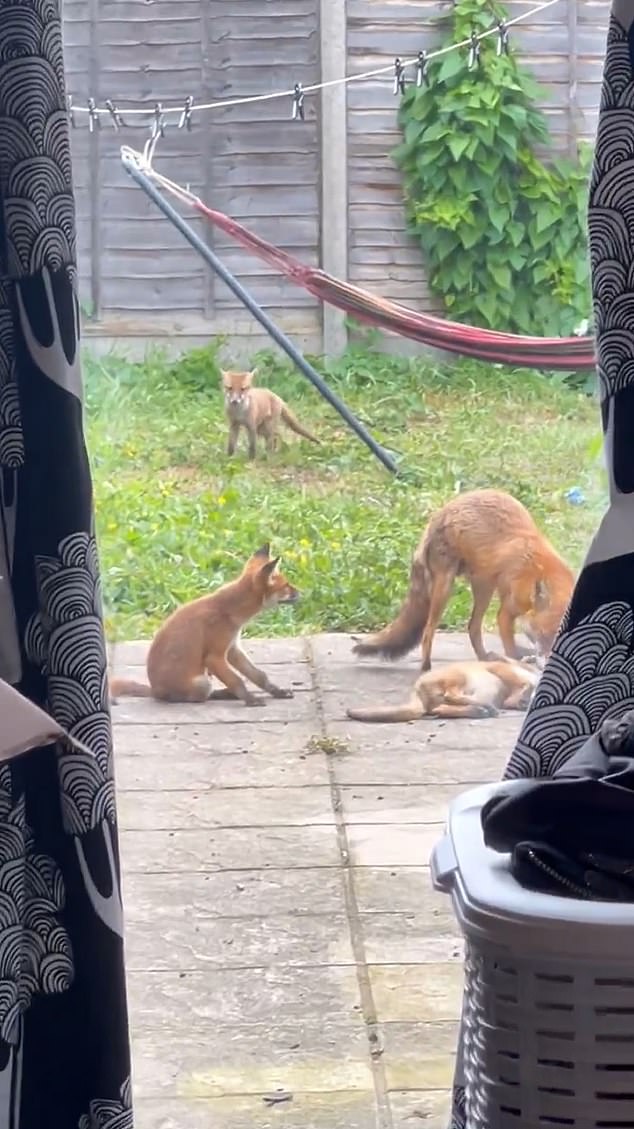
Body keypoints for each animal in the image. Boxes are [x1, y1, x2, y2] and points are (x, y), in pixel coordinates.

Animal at [107, 544, 295, 704]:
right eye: (286, 586)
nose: (300, 592)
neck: (229, 610)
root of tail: (154, 692)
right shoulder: (214, 657)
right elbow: (237, 680)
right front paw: (250, 699)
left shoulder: (232, 649)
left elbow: (259, 676)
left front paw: (277, 691)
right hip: (203, 682)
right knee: (204, 696)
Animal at [345, 659, 536, 727]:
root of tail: (417, 688)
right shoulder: (502, 670)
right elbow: (522, 686)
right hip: (459, 678)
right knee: (450, 697)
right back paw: (483, 707)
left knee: (441, 709)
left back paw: (480, 710)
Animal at [349, 487, 573, 668]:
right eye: (543, 636)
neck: (539, 570)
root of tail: (440, 512)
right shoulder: (507, 612)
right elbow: (510, 648)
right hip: (445, 587)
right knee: (428, 632)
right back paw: (426, 668)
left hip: (483, 588)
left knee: (472, 627)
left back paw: (484, 659)